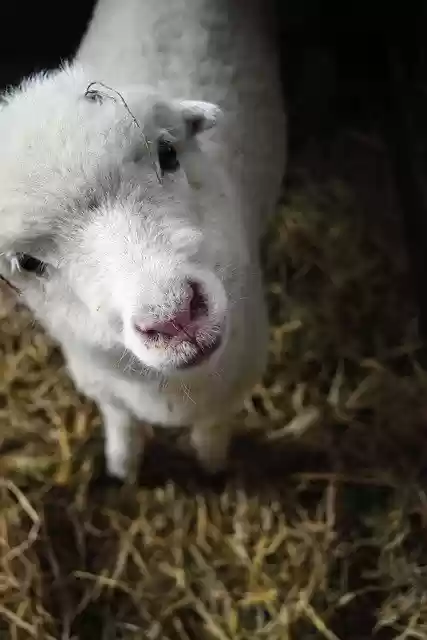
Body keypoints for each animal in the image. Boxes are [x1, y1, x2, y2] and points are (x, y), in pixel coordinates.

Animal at [0, 0, 286, 481]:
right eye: (26, 262)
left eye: (167, 154)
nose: (174, 318)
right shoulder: (102, 384)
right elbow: (121, 421)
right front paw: (122, 469)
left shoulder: (238, 377)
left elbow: (212, 429)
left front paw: (213, 466)